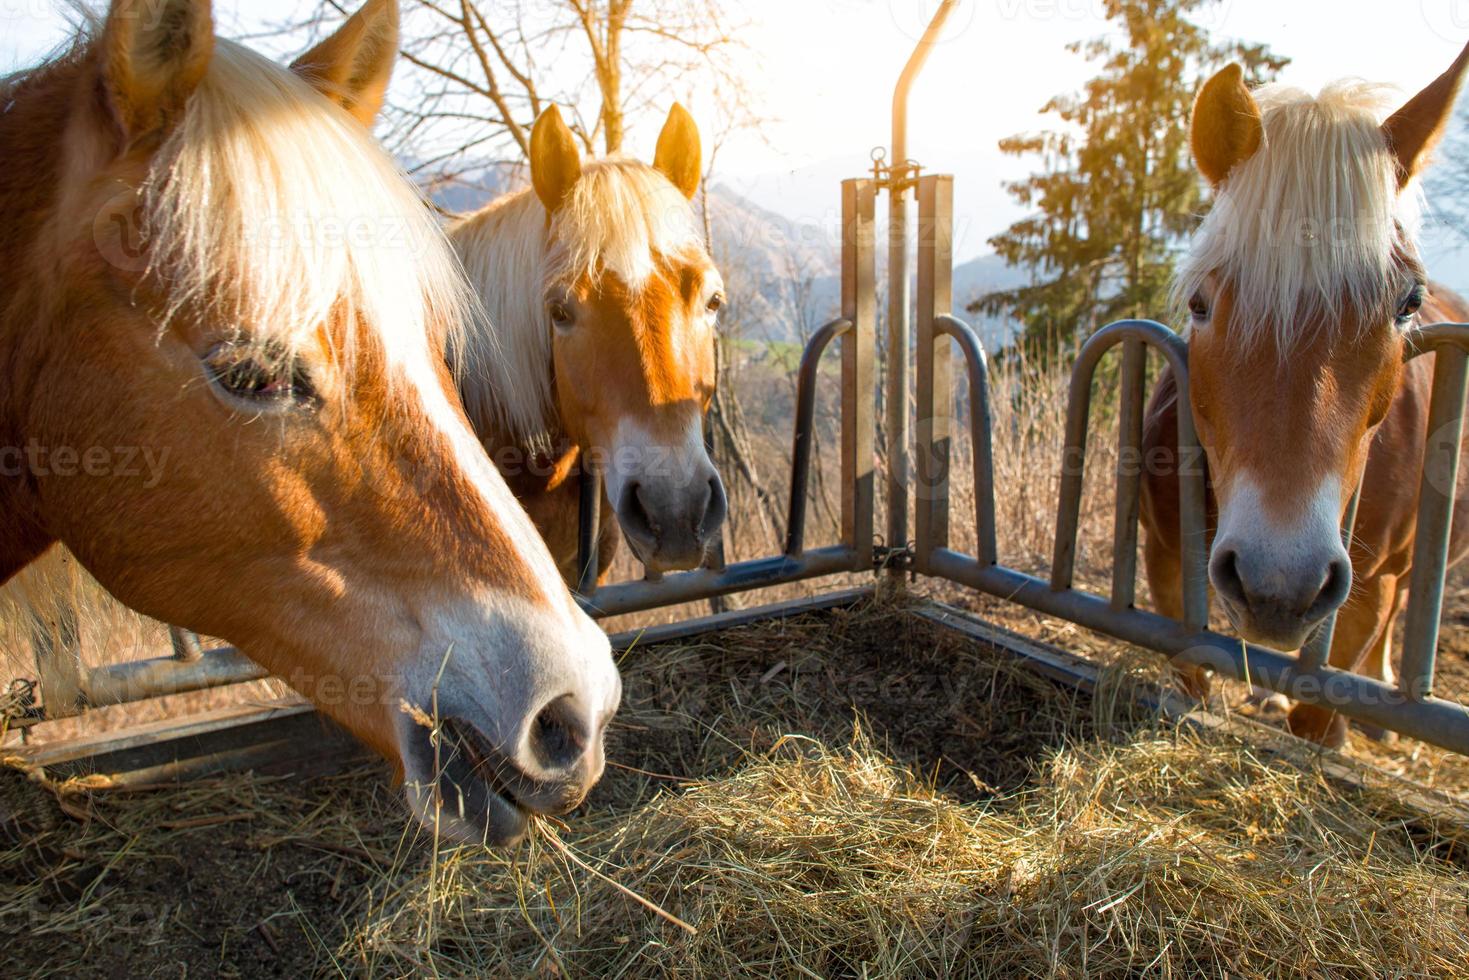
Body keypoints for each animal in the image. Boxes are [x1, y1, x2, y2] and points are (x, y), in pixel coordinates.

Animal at [1139, 45, 1469, 746]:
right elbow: (1189, 674)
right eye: (1199, 302)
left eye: (1408, 303)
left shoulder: (1367, 592)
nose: (1278, 584)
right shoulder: (1166, 557)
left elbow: (1318, 715)